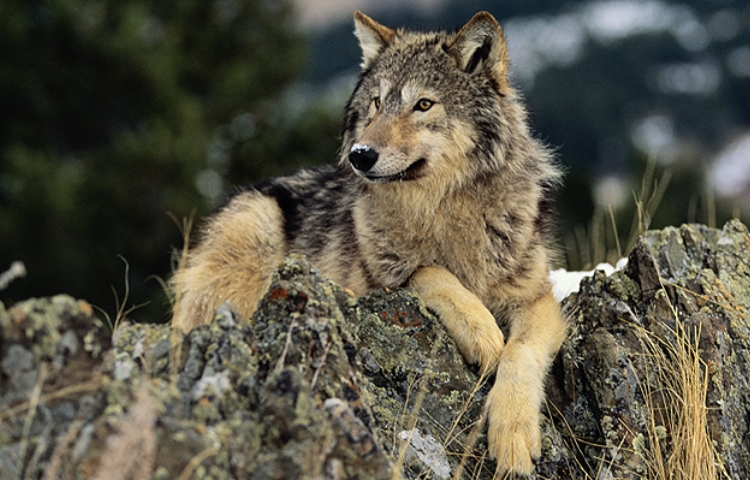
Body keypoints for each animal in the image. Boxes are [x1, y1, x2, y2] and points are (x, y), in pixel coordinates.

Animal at [171, 11, 567, 476]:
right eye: (377, 103)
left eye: (423, 104)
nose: (360, 155)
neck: (442, 213)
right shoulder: (377, 282)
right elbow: (428, 272)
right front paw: (482, 332)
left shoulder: (537, 299)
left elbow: (520, 353)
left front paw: (514, 437)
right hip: (256, 229)